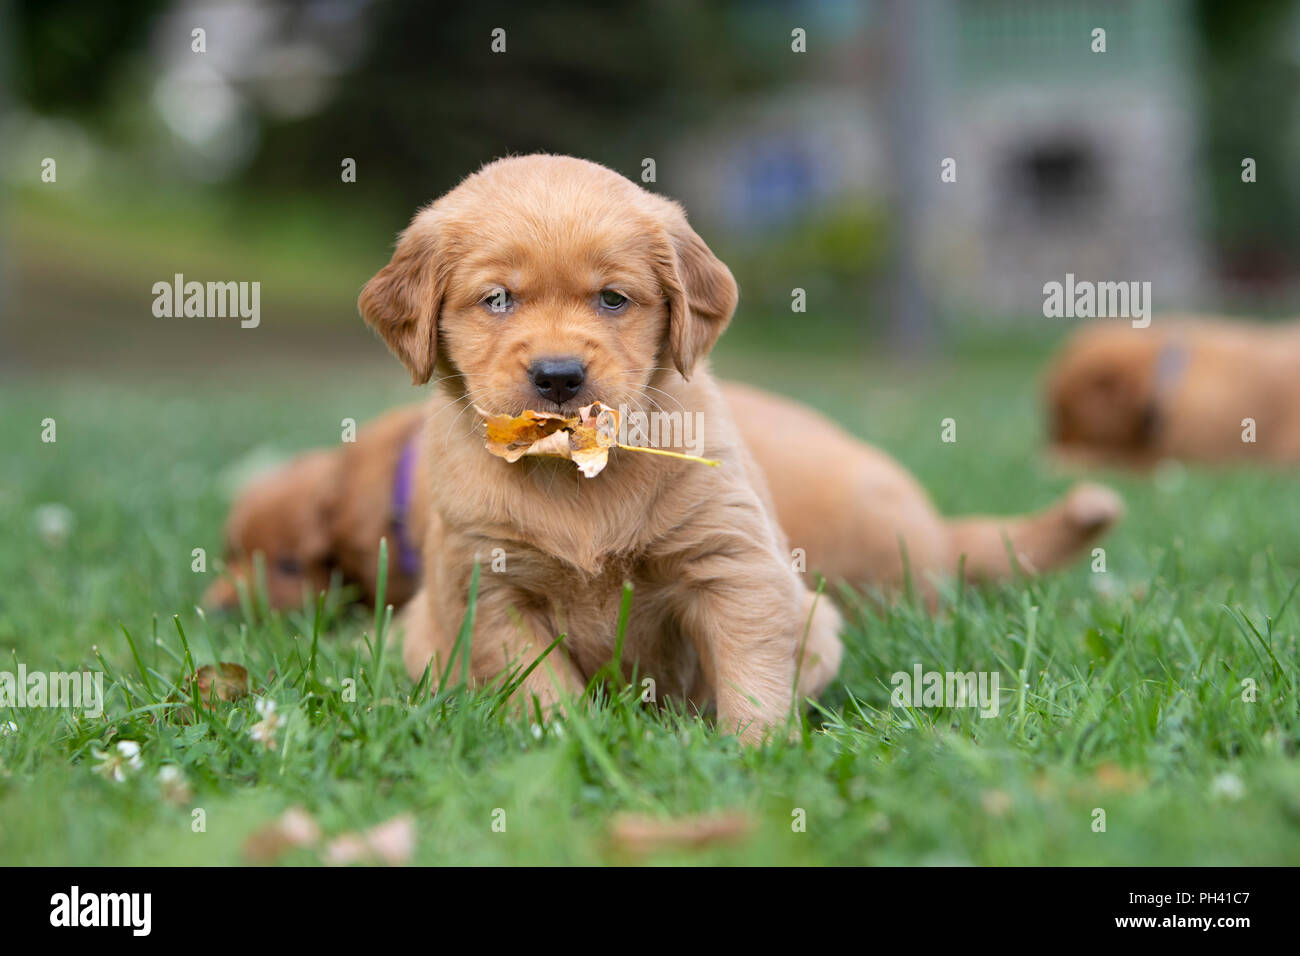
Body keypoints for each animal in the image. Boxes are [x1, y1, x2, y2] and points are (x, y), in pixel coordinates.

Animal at [361, 155, 842, 738]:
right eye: (496, 298)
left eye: (612, 298)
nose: (558, 376)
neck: (571, 466)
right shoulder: (492, 587)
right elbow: (540, 684)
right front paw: (570, 736)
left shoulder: (730, 558)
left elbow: (752, 671)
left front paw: (759, 745)